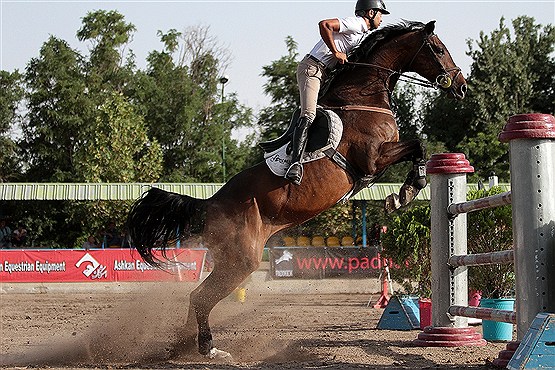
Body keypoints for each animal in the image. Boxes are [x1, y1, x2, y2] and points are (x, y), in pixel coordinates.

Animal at [127, 19, 470, 358]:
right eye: (438, 49)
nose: (462, 86)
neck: (363, 97)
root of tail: (208, 203)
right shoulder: (373, 159)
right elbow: (418, 144)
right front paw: (405, 193)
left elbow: (418, 147)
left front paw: (402, 194)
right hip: (242, 260)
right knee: (200, 297)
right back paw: (208, 347)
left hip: (232, 259)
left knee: (196, 298)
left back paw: (183, 346)